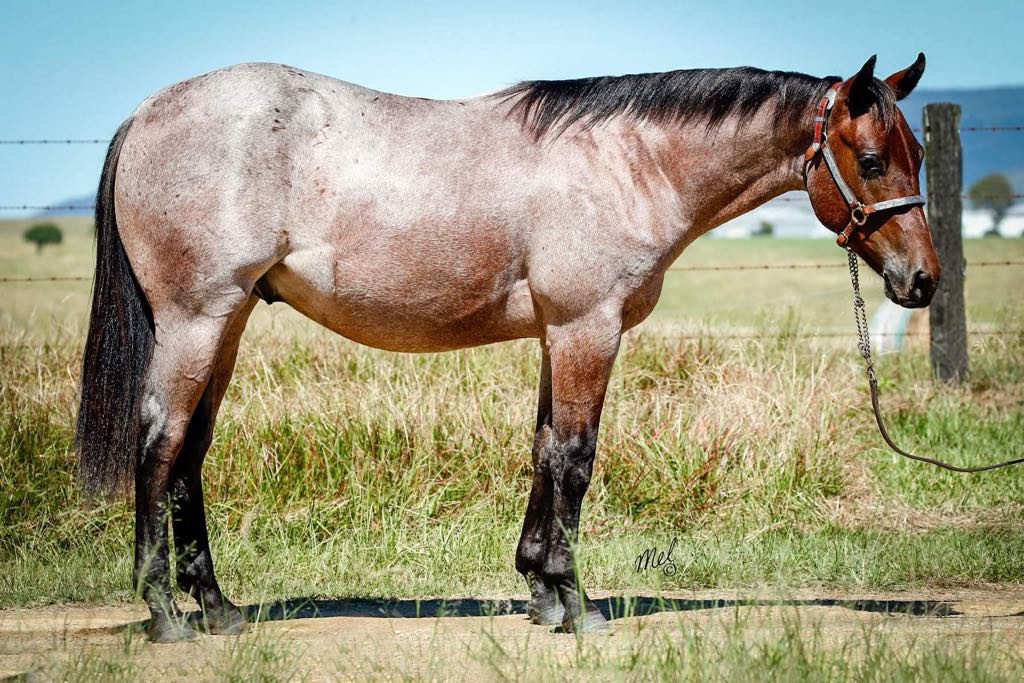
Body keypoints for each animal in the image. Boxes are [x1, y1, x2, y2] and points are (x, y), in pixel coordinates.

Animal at [76, 54, 938, 641]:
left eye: (917, 155)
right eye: (870, 161)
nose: (923, 280)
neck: (627, 161)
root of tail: (148, 110)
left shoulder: (561, 333)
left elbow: (544, 450)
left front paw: (540, 590)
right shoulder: (588, 326)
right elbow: (577, 459)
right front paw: (575, 602)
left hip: (226, 324)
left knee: (190, 452)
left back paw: (217, 606)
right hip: (195, 320)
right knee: (158, 444)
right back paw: (164, 611)